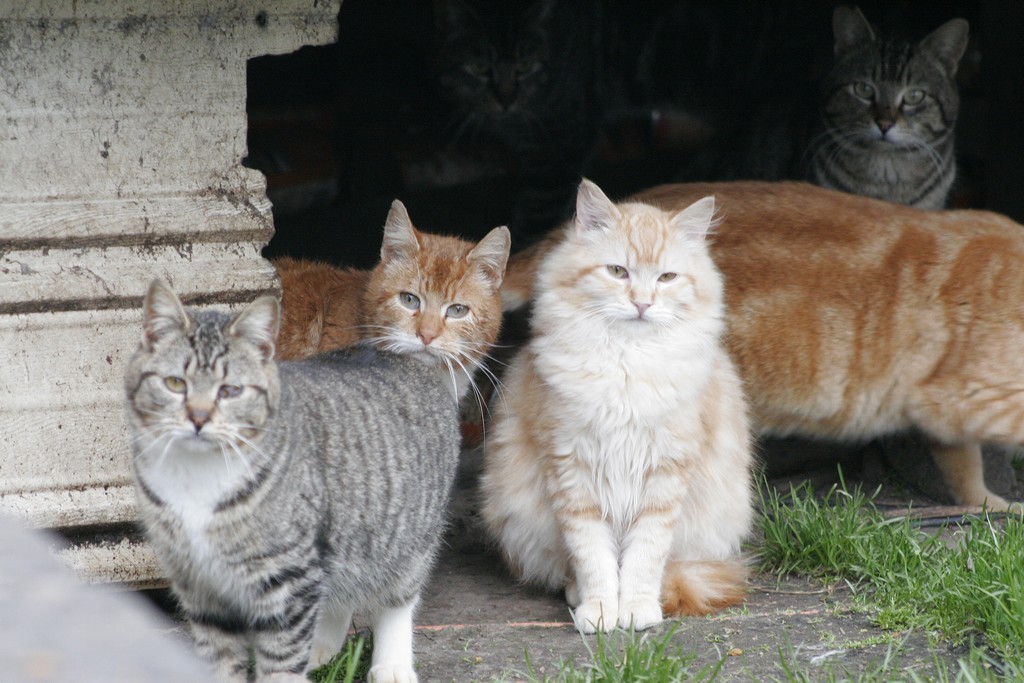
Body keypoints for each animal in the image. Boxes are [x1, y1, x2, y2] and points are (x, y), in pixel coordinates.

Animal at [125, 279, 461, 682]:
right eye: (176, 384)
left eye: (230, 390)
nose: (199, 419)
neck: (197, 475)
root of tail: (402, 355)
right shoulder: (199, 585)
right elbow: (221, 661)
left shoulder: (288, 581)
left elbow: (281, 664)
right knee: (339, 592)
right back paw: (322, 650)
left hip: (407, 538)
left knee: (397, 597)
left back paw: (391, 665)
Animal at [480, 179, 754, 634]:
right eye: (617, 272)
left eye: (666, 277)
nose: (642, 303)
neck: (627, 363)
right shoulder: (572, 471)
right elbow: (593, 557)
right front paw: (600, 610)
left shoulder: (665, 475)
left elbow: (645, 557)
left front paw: (638, 609)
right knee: (568, 570)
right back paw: (577, 596)